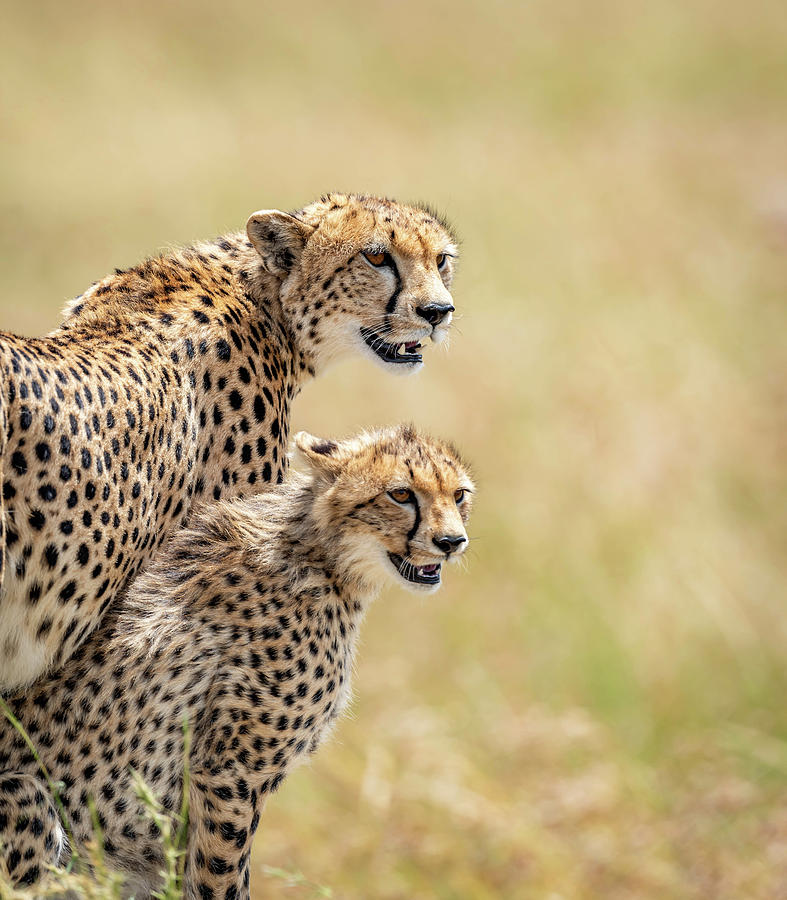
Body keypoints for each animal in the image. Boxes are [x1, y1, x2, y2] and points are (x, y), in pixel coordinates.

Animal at [0, 426, 474, 896]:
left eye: (459, 495)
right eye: (400, 494)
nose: (451, 542)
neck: (322, 558)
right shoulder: (229, 774)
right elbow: (221, 874)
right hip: (28, 797)